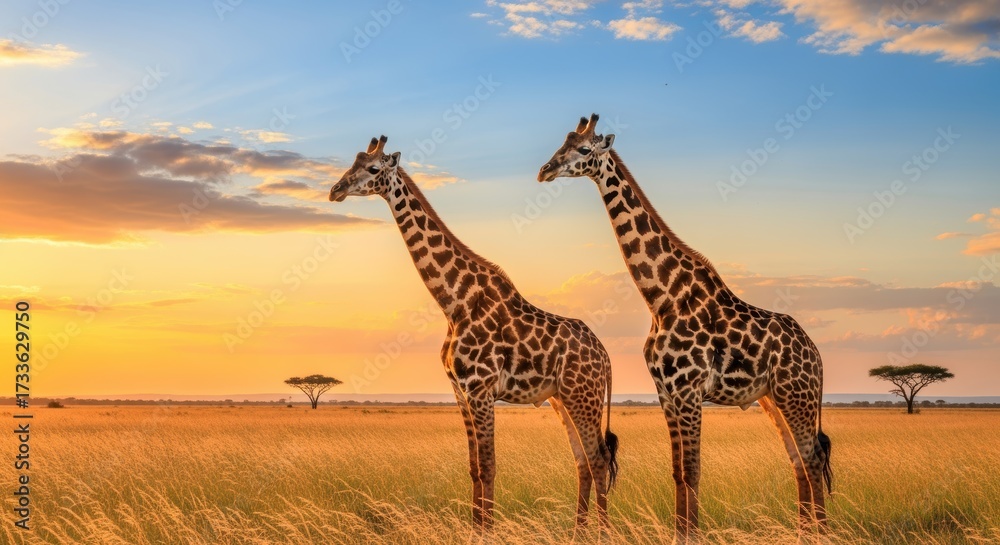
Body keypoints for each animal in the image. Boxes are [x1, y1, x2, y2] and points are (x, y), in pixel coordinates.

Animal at [329, 135, 619, 530]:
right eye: (353, 163)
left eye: (373, 168)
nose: (336, 190)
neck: (454, 302)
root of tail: (605, 356)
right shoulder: (460, 391)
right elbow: (473, 469)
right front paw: (475, 528)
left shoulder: (481, 390)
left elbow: (489, 467)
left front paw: (488, 531)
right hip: (563, 399)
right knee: (583, 462)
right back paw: (578, 533)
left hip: (583, 397)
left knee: (599, 459)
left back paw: (602, 532)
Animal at [537, 114, 832, 542]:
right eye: (562, 143)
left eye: (585, 149)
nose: (545, 170)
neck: (663, 298)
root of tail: (817, 356)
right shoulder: (666, 391)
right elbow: (678, 472)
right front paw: (681, 534)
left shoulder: (689, 390)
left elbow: (692, 471)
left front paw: (691, 535)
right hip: (774, 399)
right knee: (799, 462)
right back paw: (803, 533)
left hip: (798, 397)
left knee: (812, 460)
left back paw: (820, 534)